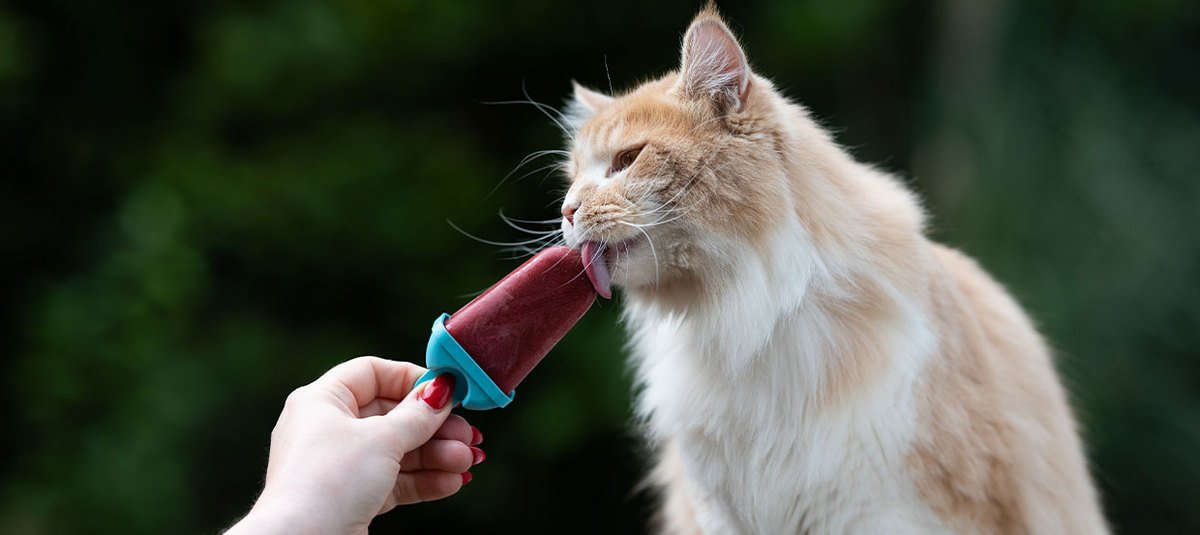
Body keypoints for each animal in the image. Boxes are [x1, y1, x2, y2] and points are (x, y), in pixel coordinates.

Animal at [556, 5, 1108, 535]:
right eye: (573, 177)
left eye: (628, 159)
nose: (567, 211)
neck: (746, 319)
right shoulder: (719, 513)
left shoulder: (882, 512)